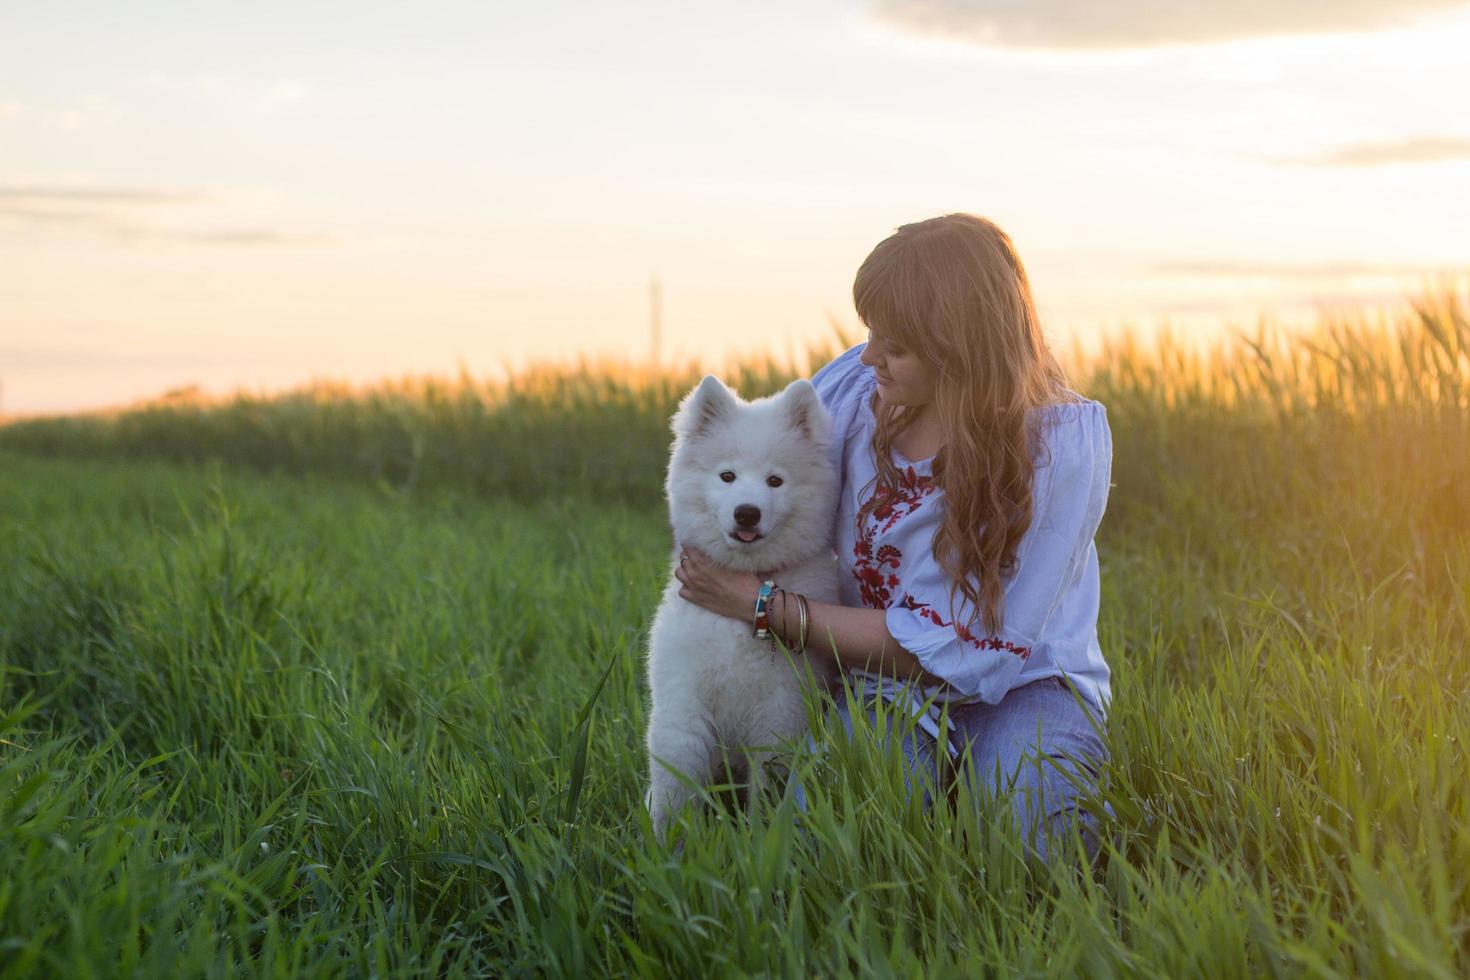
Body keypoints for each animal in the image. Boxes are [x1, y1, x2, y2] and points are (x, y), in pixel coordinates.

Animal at [643, 376, 840, 834]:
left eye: (775, 481)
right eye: (727, 476)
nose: (746, 513)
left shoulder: (779, 712)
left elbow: (764, 790)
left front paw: (757, 838)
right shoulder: (684, 705)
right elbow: (675, 785)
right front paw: (668, 844)